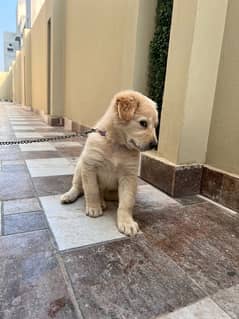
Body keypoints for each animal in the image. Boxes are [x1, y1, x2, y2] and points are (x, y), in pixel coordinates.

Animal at [61, 91, 158, 236]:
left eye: (155, 126)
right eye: (143, 123)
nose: (154, 145)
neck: (116, 144)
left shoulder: (129, 176)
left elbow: (126, 202)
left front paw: (127, 223)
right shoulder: (90, 166)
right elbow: (92, 190)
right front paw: (94, 208)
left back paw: (103, 200)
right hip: (80, 167)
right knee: (79, 187)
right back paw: (71, 196)